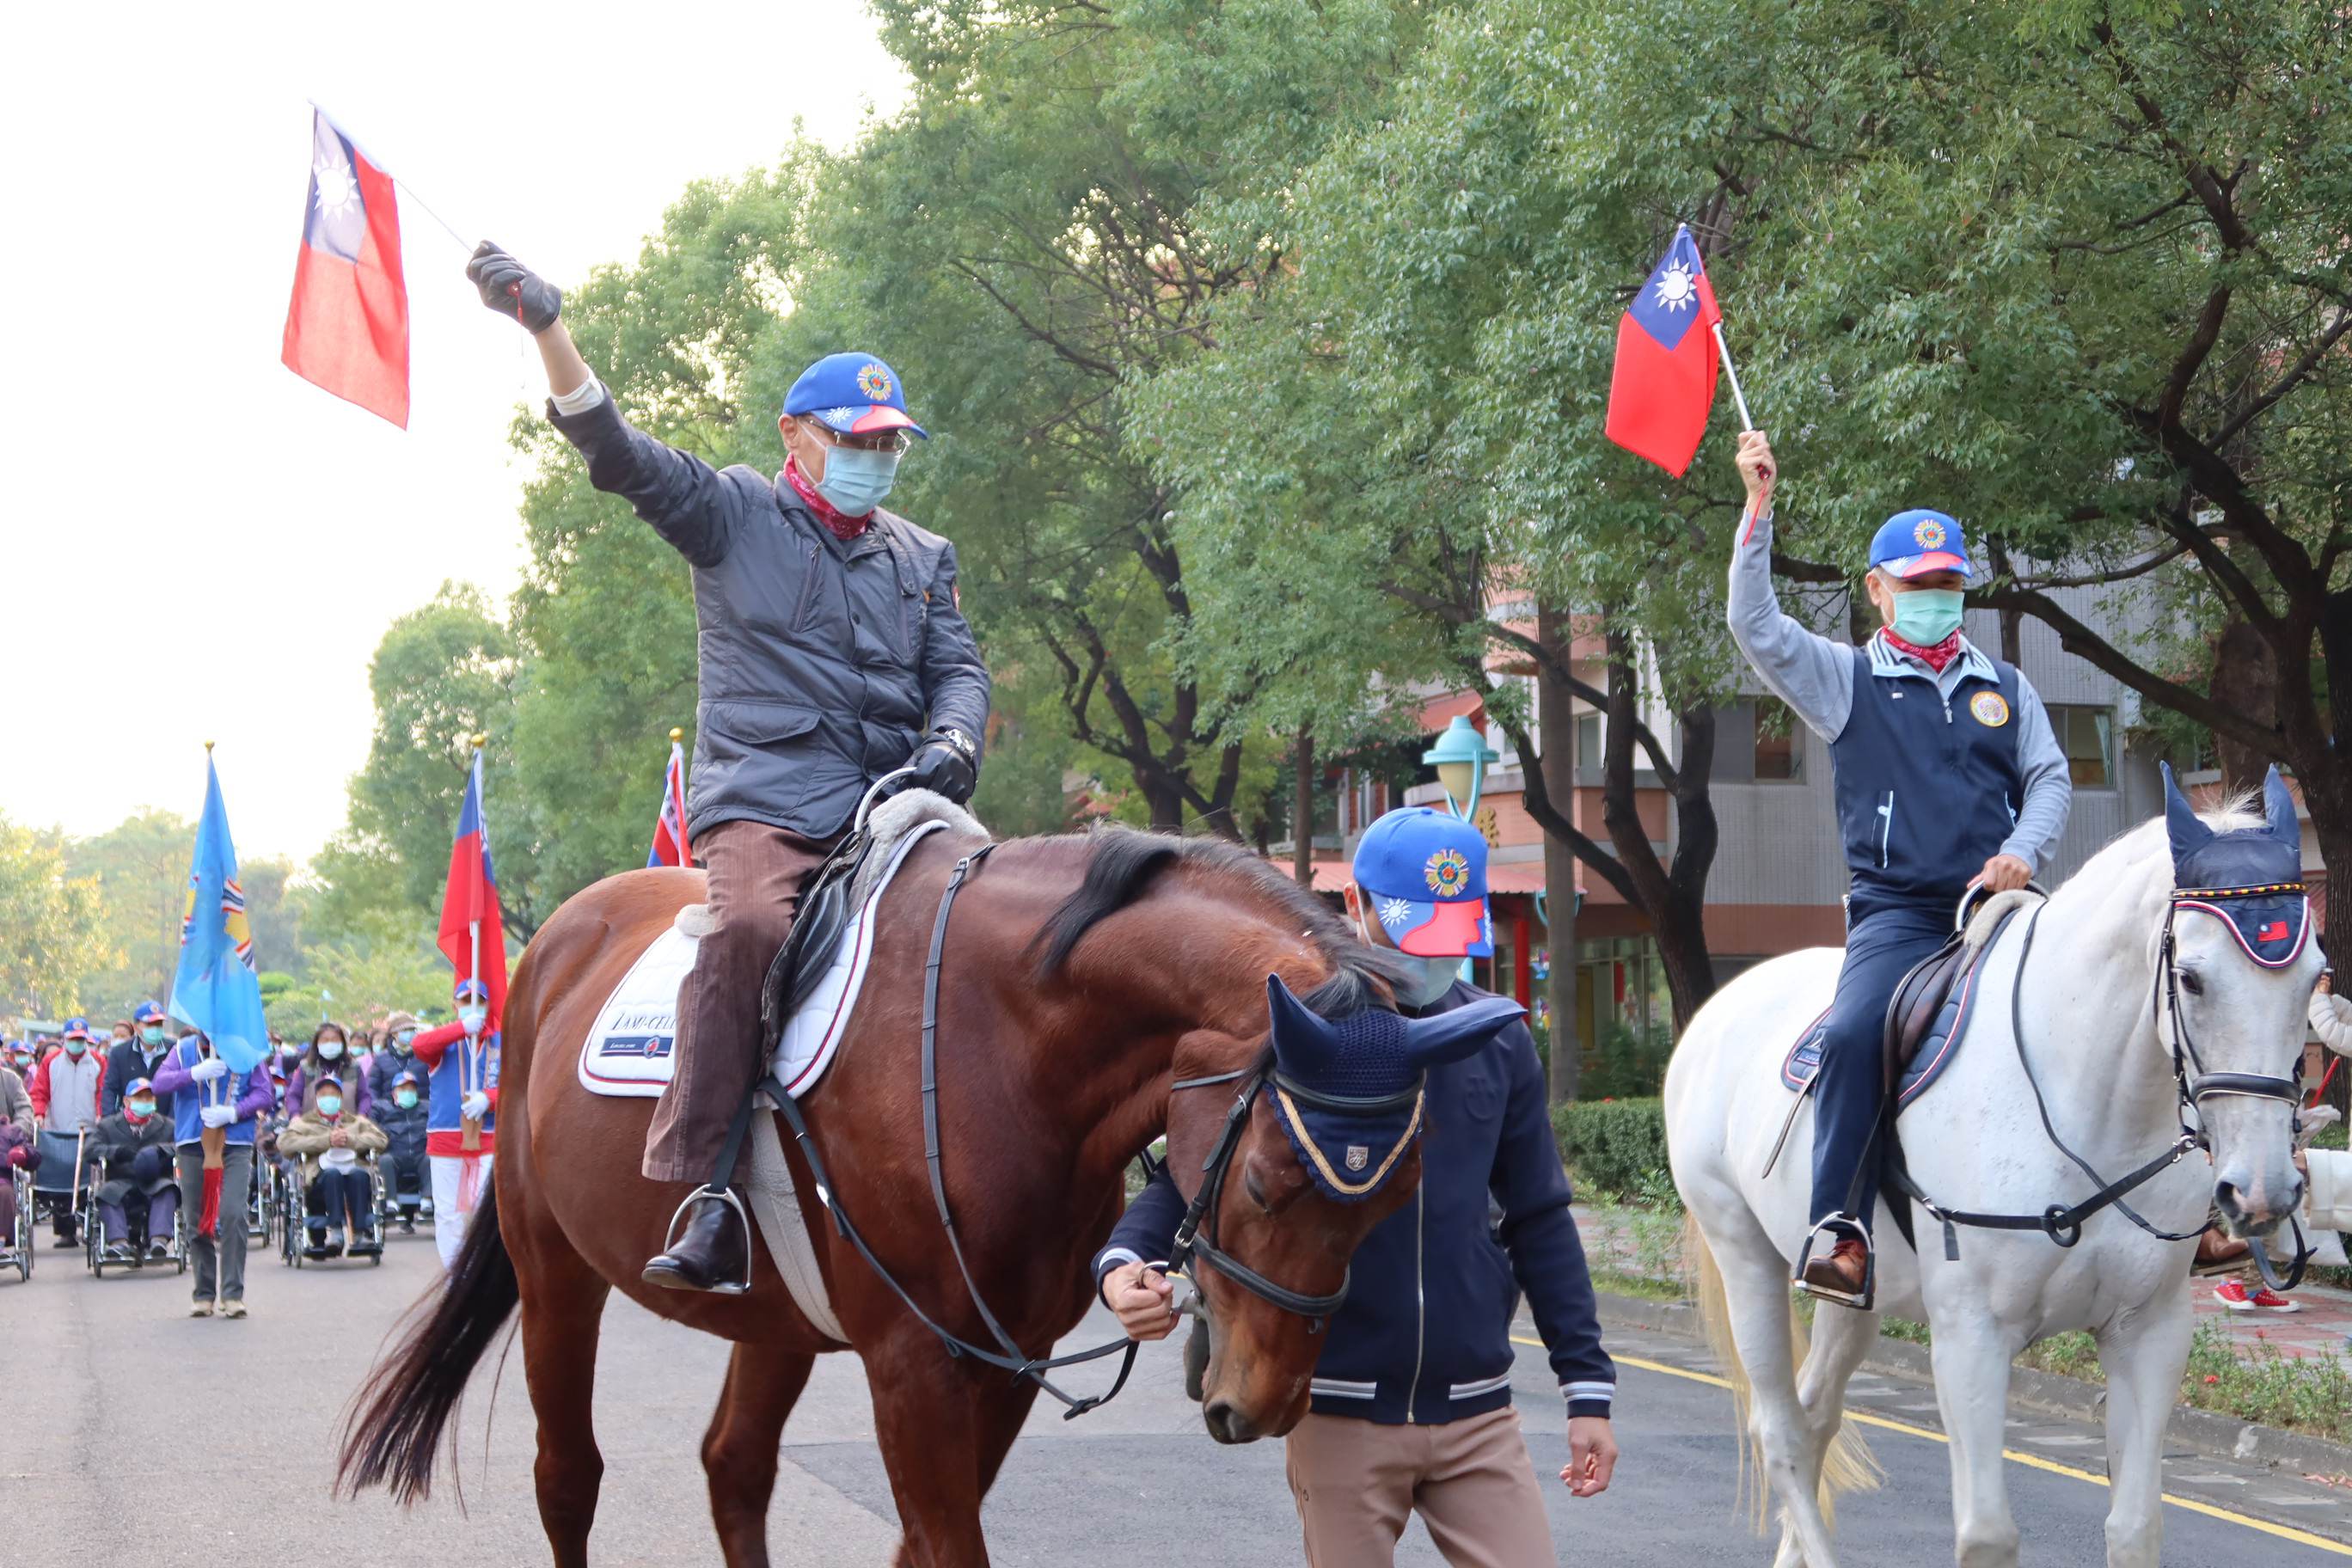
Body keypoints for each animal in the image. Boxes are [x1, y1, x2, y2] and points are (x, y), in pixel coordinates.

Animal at [331, 823, 1430, 1568]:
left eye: (1395, 1201)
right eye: (1267, 1181)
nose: (1265, 1401)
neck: (997, 1043)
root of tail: (549, 951)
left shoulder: (1006, 1362)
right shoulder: (912, 1363)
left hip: (771, 1316)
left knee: (734, 1465)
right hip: (554, 1271)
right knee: (568, 1476)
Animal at [1675, 775, 2314, 1568]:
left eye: (2315, 977)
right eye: (2191, 980)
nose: (2263, 1190)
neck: (2085, 1106)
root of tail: (1719, 1009)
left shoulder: (2149, 1333)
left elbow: (2135, 1527)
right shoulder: (1970, 1338)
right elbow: (1987, 1533)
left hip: (1854, 1292)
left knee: (1817, 1412)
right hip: (1744, 1255)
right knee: (1781, 1430)